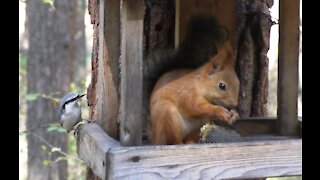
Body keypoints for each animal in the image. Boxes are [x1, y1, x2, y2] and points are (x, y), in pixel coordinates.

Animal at [148, 15, 240, 145]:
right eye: (221, 85)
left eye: (238, 82)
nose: (234, 104)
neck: (200, 83)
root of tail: (154, 136)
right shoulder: (188, 92)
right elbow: (195, 106)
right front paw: (220, 111)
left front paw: (235, 114)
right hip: (168, 115)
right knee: (173, 140)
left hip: (197, 125)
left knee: (190, 137)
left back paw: (192, 142)